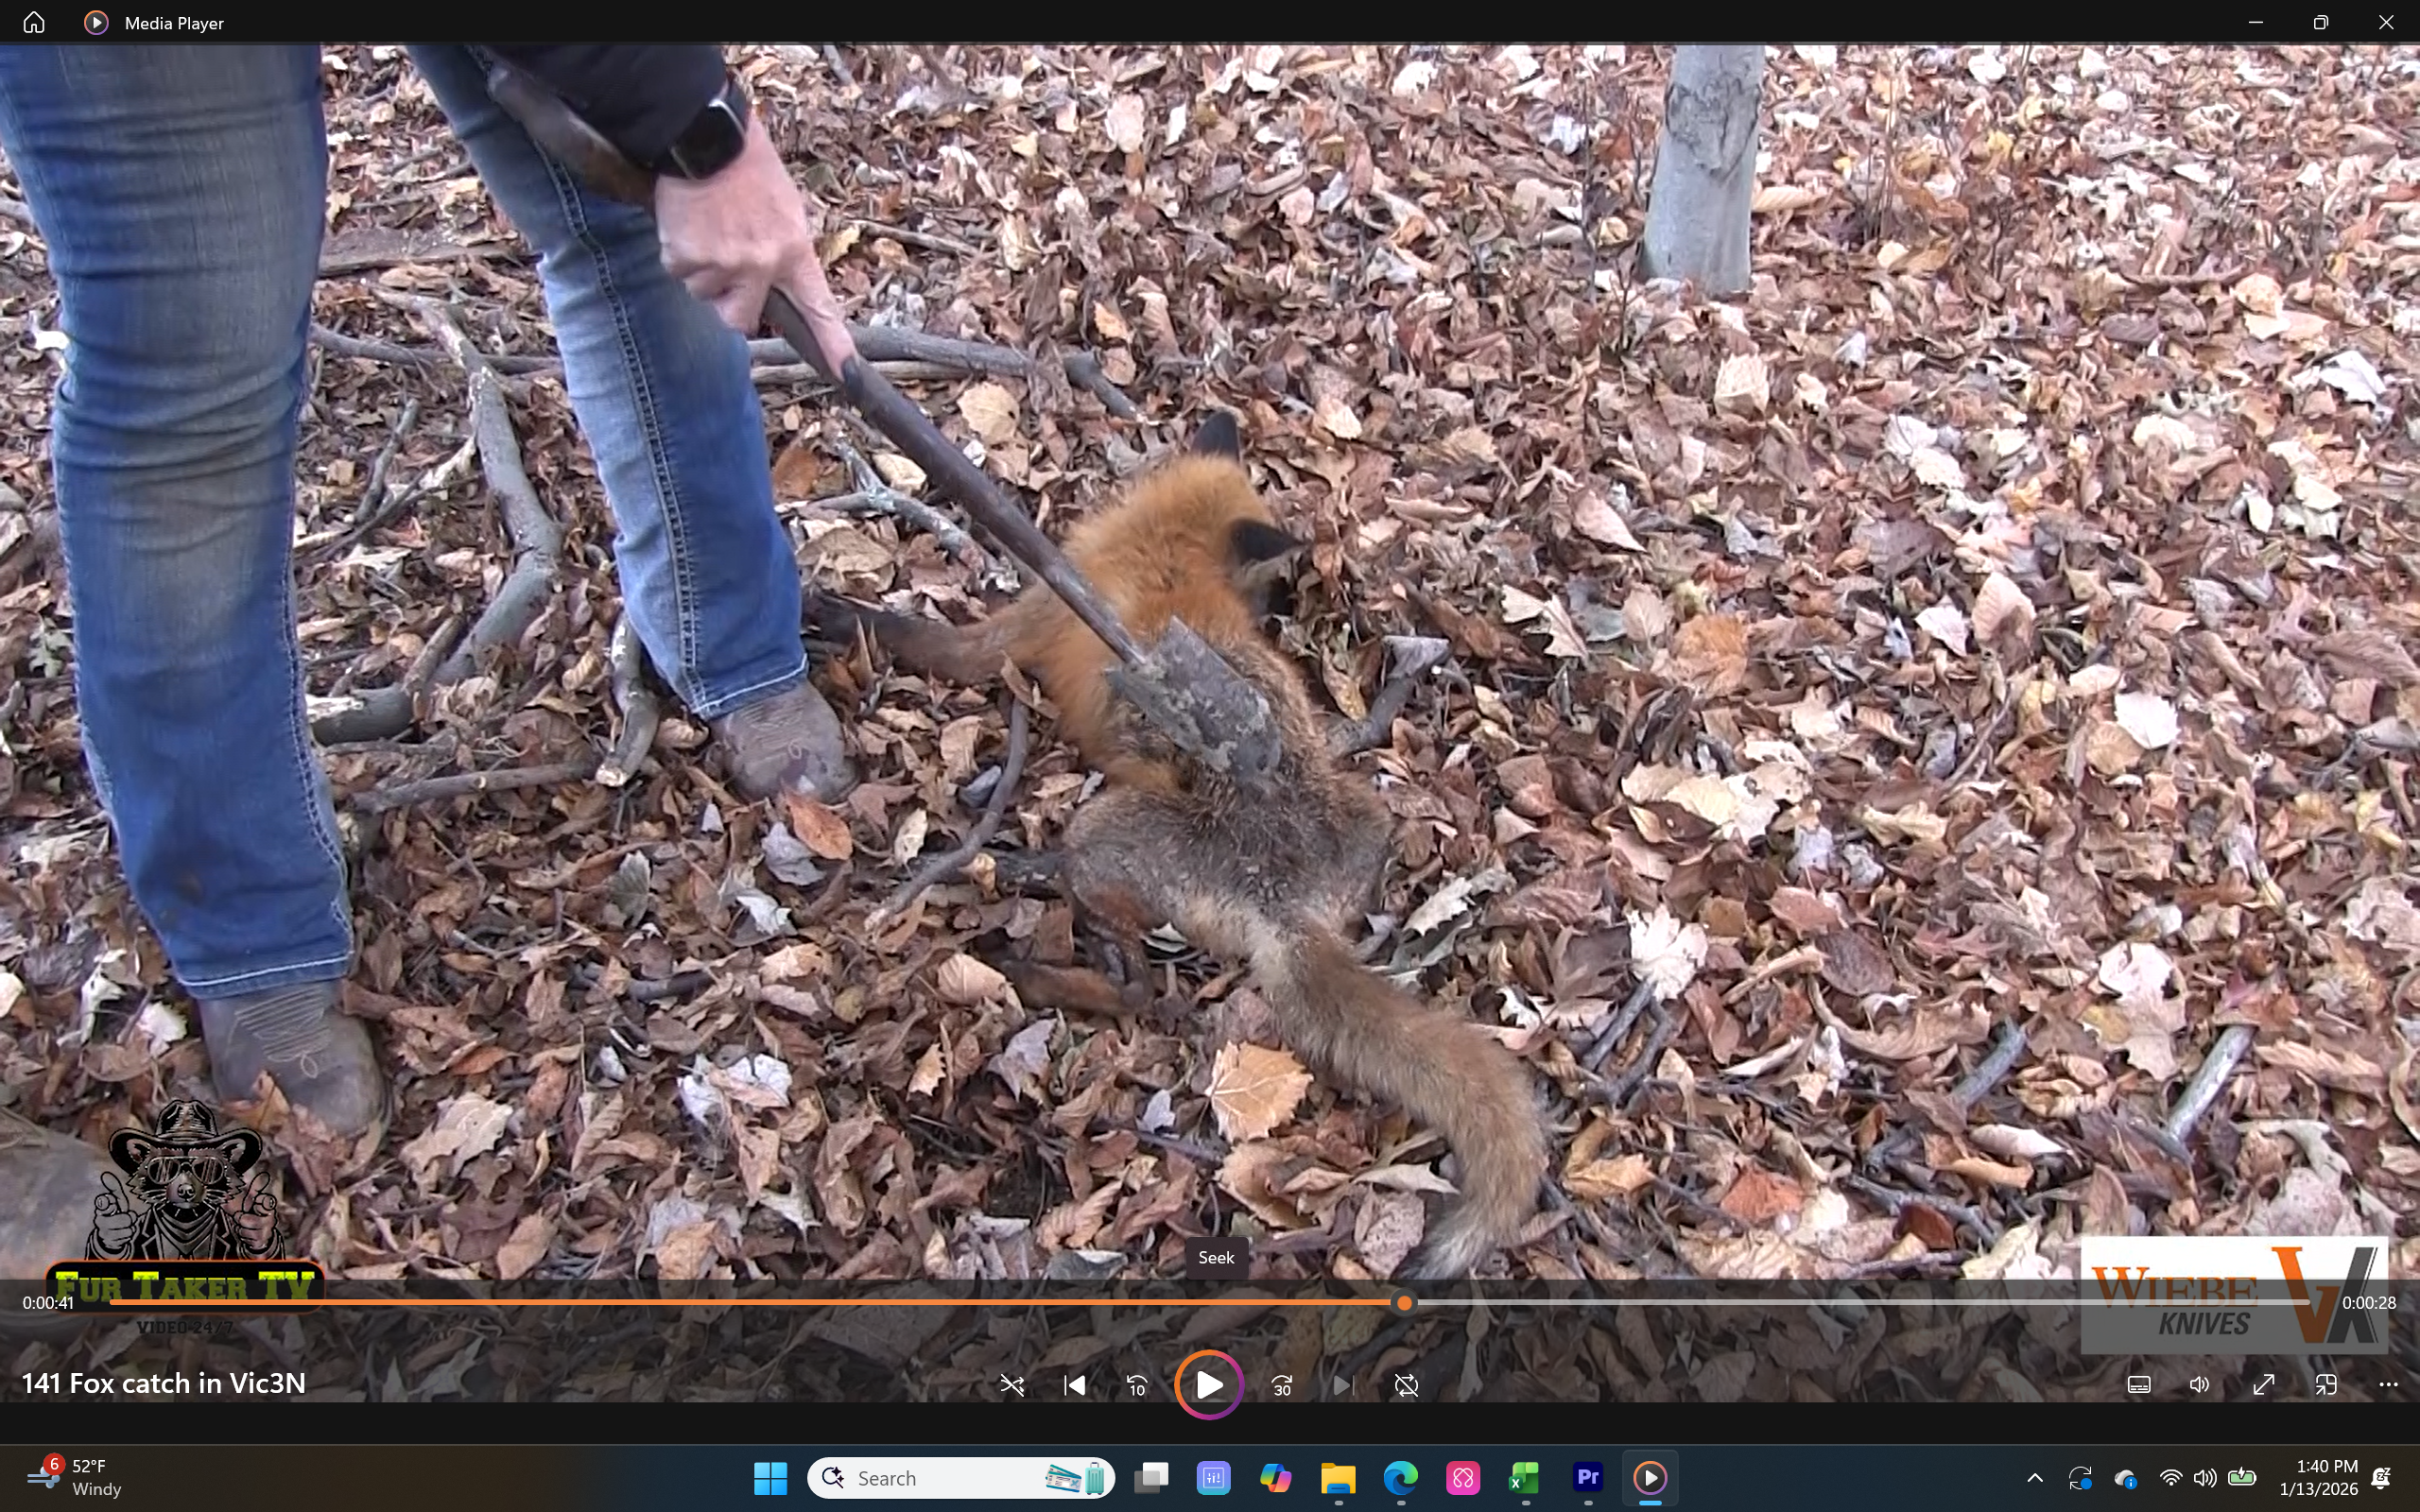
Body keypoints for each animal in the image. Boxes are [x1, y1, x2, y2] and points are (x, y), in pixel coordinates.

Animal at [808, 413, 1549, 1279]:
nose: (1289, 605)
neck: (1158, 551)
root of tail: (1287, 897)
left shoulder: (1020, 624)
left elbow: (922, 637)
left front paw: (829, 613)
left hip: (1096, 835)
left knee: (1141, 992)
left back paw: (1034, 949)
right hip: (1368, 818)